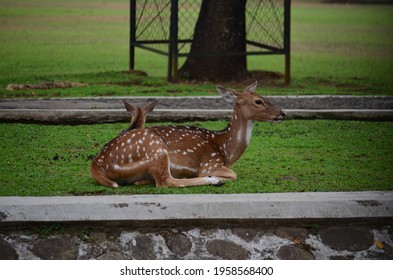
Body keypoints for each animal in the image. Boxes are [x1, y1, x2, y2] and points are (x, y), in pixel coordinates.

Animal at [89, 82, 284, 188]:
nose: (283, 113)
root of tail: (97, 162)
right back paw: (213, 181)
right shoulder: (210, 163)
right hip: (156, 149)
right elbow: (233, 175)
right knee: (166, 181)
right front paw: (215, 178)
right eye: (258, 101)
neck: (226, 150)